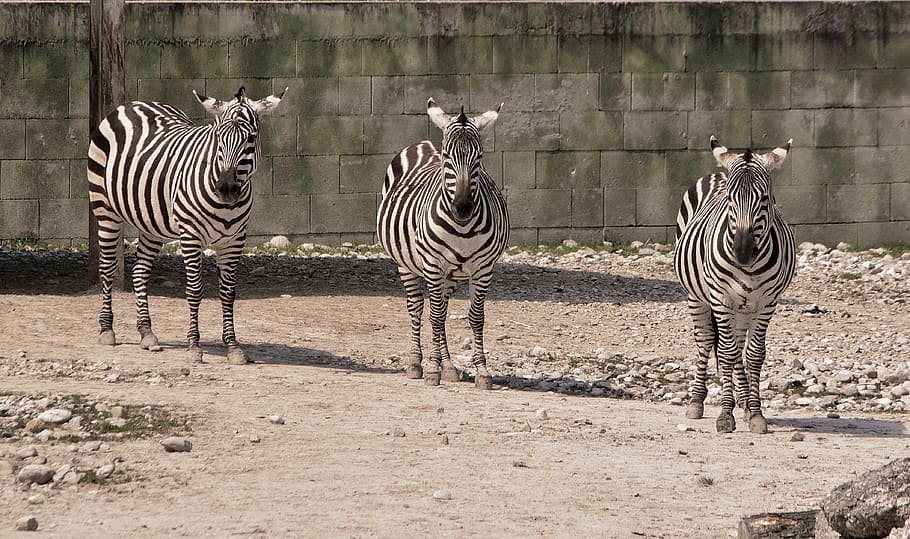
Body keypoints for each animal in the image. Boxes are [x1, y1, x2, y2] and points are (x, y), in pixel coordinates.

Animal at [87, 86, 286, 364]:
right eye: (218, 138)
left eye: (251, 138)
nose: (226, 188)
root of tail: (134, 104)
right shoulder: (191, 235)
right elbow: (194, 290)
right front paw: (194, 346)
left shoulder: (235, 240)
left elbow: (228, 292)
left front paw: (233, 346)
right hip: (105, 209)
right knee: (107, 268)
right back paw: (106, 329)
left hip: (150, 222)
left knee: (139, 272)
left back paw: (147, 333)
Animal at [377, 98, 509, 389]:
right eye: (447, 157)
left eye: (479, 158)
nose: (462, 207)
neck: (462, 228)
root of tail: (427, 141)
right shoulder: (433, 265)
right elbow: (434, 316)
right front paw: (432, 369)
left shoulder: (484, 269)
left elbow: (475, 317)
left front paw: (482, 371)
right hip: (408, 265)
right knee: (417, 309)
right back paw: (417, 364)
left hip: (450, 274)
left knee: (443, 311)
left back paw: (448, 366)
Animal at [673, 136, 796, 434]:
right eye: (729, 199)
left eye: (765, 199)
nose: (743, 252)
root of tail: (717, 172)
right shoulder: (721, 299)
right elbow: (727, 354)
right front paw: (725, 415)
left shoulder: (767, 302)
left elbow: (753, 355)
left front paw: (756, 413)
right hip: (698, 297)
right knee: (706, 341)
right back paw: (697, 401)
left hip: (744, 307)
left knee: (739, 346)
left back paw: (744, 402)